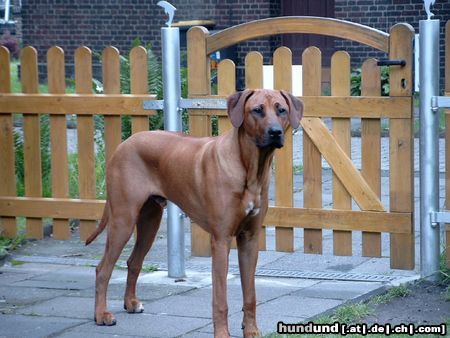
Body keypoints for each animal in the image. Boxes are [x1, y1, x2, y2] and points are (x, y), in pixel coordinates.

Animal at [85, 88, 302, 336]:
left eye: (281, 110)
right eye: (257, 110)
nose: (275, 132)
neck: (250, 168)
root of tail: (125, 143)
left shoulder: (249, 239)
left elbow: (251, 295)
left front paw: (252, 331)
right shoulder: (221, 240)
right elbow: (220, 299)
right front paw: (222, 334)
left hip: (150, 220)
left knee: (133, 261)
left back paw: (130, 303)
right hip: (123, 219)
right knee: (103, 269)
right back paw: (101, 315)